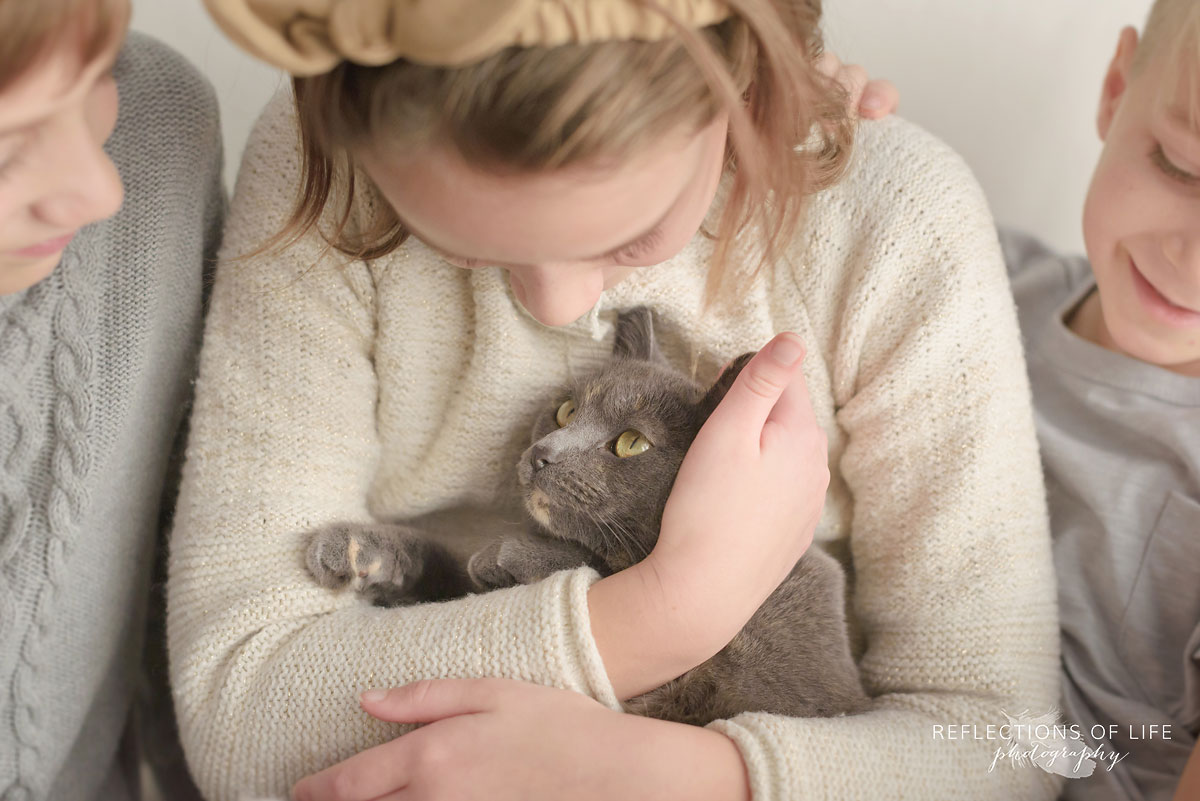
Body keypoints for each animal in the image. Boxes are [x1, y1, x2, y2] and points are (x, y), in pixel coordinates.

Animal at [307, 306, 873, 724]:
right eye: (566, 412)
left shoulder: (773, 672)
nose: (542, 454)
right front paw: (354, 548)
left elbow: (602, 568)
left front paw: (510, 556)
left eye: (632, 443)